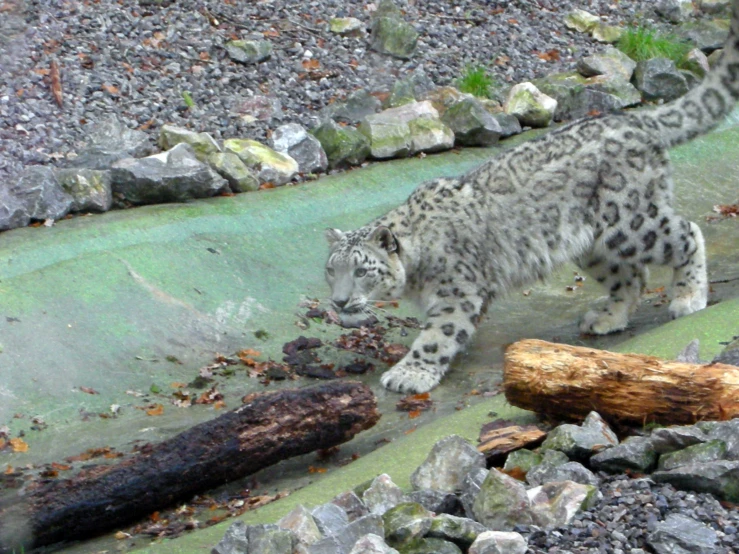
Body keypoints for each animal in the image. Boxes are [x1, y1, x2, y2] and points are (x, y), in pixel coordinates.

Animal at [326, 2, 739, 394]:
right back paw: (606, 318)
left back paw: (688, 297)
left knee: (685, 234)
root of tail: (636, 120)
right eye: (332, 270)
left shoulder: (456, 291)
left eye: (362, 271)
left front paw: (409, 374)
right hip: (592, 243)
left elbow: (437, 336)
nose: (339, 301)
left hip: (629, 221)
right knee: (630, 276)